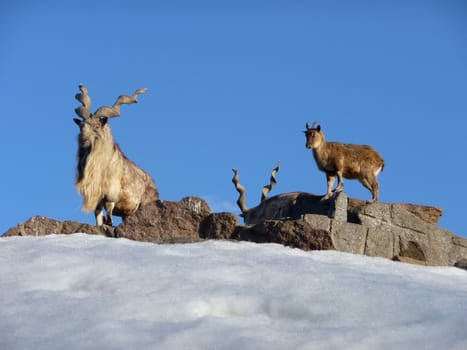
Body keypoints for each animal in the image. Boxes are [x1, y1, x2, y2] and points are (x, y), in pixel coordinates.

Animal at [73, 85, 159, 227]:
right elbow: (98, 215)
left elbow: (109, 209)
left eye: (97, 126)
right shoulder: (97, 198)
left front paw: (110, 222)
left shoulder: (111, 194)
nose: (83, 140)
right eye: (81, 126)